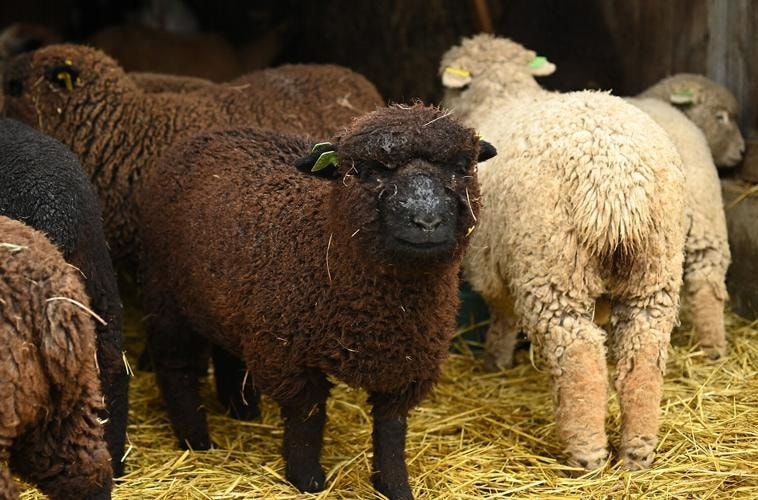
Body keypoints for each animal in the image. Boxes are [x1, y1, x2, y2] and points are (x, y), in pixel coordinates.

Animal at [137, 104, 495, 499]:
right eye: (370, 172)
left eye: (461, 166)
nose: (426, 221)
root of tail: (206, 136)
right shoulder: (287, 357)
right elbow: (307, 418)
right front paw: (306, 480)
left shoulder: (407, 363)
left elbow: (391, 430)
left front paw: (394, 486)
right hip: (166, 296)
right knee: (176, 367)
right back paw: (196, 440)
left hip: (224, 300)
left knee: (227, 351)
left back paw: (242, 411)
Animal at [441, 35, 687, 470]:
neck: (502, 94)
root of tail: (614, 178)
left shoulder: (489, 262)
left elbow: (502, 313)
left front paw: (495, 361)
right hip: (656, 268)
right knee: (642, 352)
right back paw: (637, 451)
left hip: (552, 265)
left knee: (579, 355)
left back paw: (586, 453)